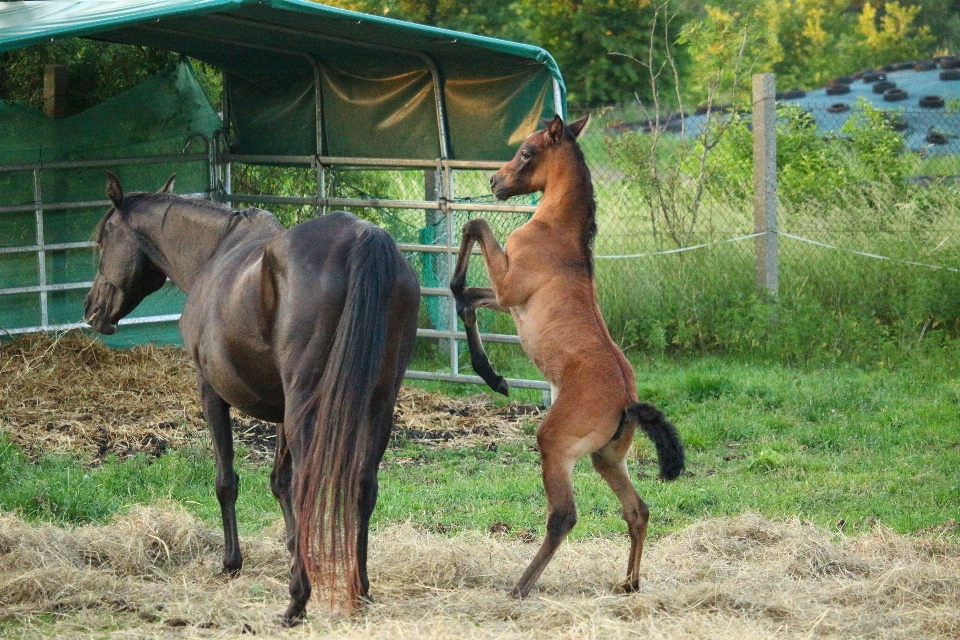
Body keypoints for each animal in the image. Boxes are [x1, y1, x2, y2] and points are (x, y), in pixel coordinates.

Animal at [85, 172, 420, 624]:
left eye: (103, 241)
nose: (91, 309)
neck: (213, 255)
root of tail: (363, 237)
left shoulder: (210, 391)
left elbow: (227, 480)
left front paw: (232, 563)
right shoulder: (284, 410)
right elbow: (280, 481)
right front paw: (295, 551)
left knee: (311, 486)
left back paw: (296, 602)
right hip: (378, 407)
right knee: (362, 487)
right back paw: (360, 591)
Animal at [450, 116, 684, 600]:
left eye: (526, 152)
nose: (494, 181)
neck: (556, 230)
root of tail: (627, 402)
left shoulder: (509, 289)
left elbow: (474, 228)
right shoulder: (507, 301)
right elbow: (468, 301)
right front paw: (491, 376)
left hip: (556, 446)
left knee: (564, 516)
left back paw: (521, 587)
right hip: (606, 459)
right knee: (638, 510)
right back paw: (629, 583)